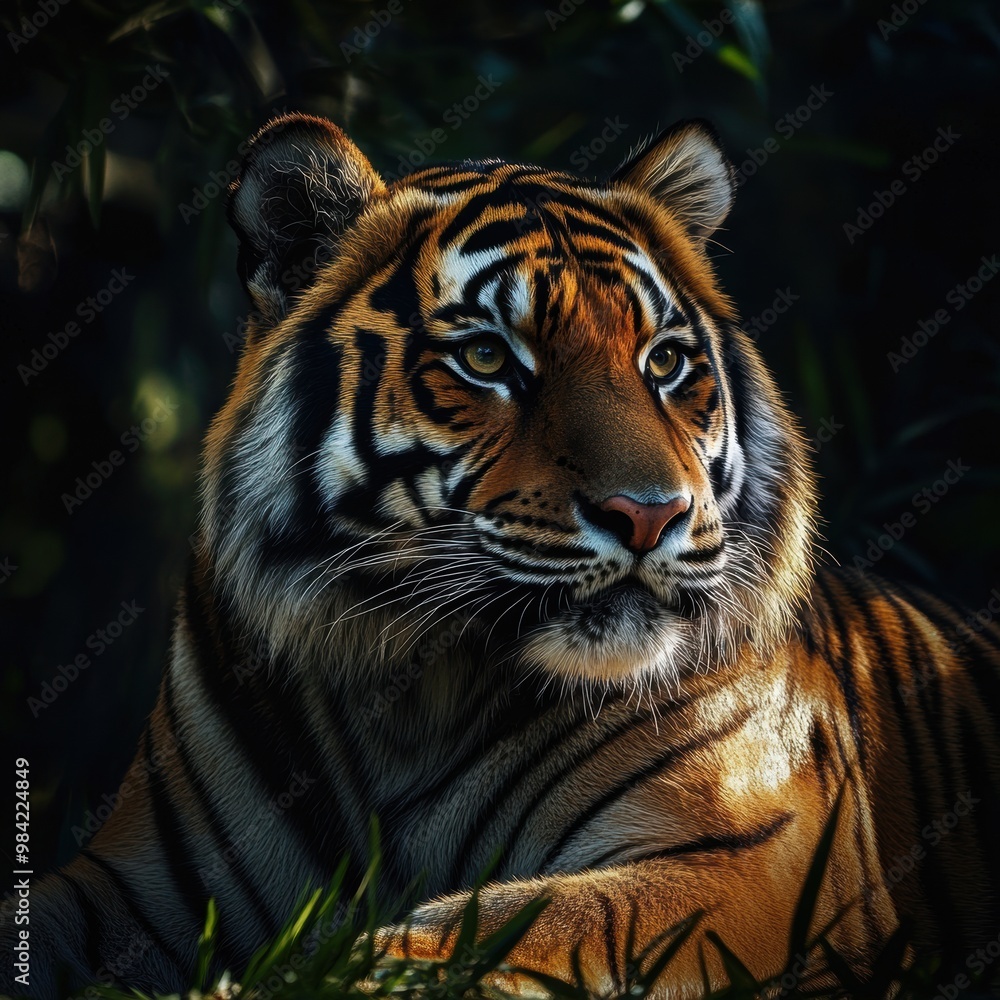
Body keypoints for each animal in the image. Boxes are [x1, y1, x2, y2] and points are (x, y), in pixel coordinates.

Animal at [4, 110, 1000, 1000]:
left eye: (665, 362)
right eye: (487, 358)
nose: (651, 516)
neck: (413, 693)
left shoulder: (752, 859)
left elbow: (488, 930)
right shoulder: (131, 887)